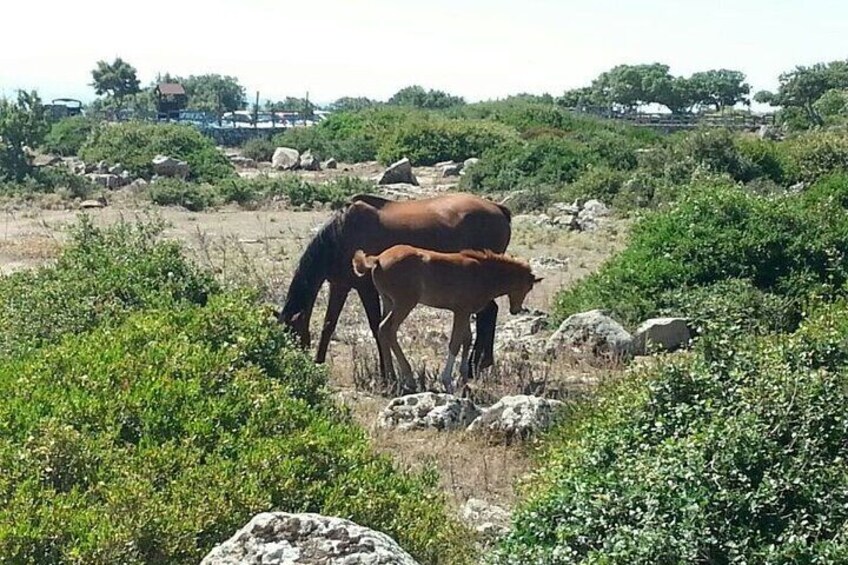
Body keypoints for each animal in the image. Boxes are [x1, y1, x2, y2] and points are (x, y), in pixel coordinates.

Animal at [282, 192, 512, 390]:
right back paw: (479, 364)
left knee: (488, 313)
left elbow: (376, 327)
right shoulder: (340, 285)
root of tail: (499, 209)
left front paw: (385, 373)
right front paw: (318, 363)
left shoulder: (366, 288)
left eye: (292, 335)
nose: (292, 364)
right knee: (489, 313)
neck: (341, 234)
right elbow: (328, 325)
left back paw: (475, 365)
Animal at [352, 245, 544, 394]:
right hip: (404, 303)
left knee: (381, 330)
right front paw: (448, 381)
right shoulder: (461, 311)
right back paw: (408, 378)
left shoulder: (465, 313)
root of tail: (378, 258)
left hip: (388, 301)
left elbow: (467, 339)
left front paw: (463, 378)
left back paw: (391, 378)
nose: (515, 310)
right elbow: (455, 343)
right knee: (387, 328)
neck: (482, 272)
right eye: (528, 287)